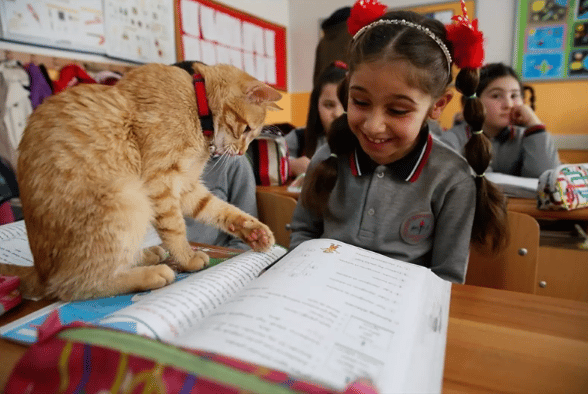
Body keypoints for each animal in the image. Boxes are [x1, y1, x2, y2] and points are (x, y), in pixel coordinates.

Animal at [0, 62, 280, 302]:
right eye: (246, 130)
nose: (241, 153)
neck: (197, 105)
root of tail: (40, 271)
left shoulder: (185, 187)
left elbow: (220, 209)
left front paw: (254, 231)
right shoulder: (160, 181)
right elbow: (175, 228)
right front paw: (187, 258)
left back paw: (148, 255)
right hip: (127, 197)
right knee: (74, 285)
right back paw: (150, 275)